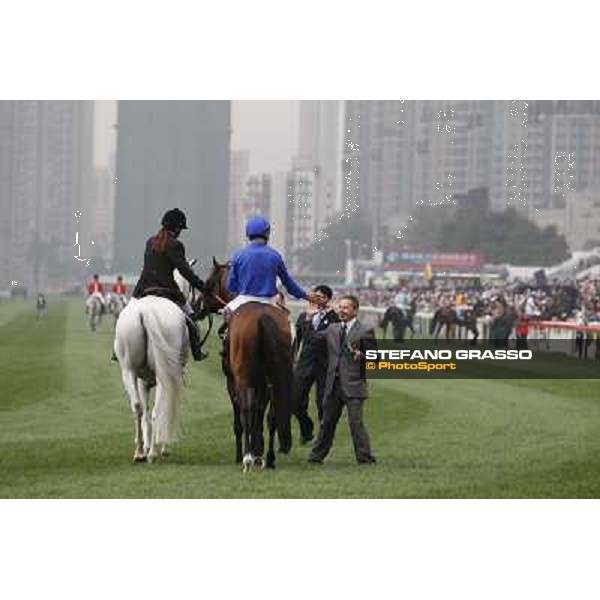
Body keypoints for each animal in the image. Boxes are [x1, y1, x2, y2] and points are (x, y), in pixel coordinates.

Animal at [202, 258, 292, 474]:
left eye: (208, 283)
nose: (196, 307)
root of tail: (262, 318)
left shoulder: (231, 380)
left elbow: (242, 416)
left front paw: (244, 454)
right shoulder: (262, 383)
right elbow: (260, 414)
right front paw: (259, 451)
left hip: (243, 377)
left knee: (246, 409)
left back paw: (248, 458)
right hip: (274, 377)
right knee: (271, 415)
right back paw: (269, 457)